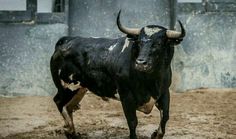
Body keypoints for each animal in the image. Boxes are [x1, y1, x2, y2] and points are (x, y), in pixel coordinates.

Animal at [49, 11, 185, 139]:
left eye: (158, 44)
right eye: (139, 42)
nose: (140, 63)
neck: (150, 79)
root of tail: (66, 40)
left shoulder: (164, 92)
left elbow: (165, 117)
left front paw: (155, 134)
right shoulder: (126, 96)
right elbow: (132, 122)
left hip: (80, 88)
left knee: (69, 106)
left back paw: (73, 133)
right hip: (66, 86)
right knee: (59, 102)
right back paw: (69, 129)